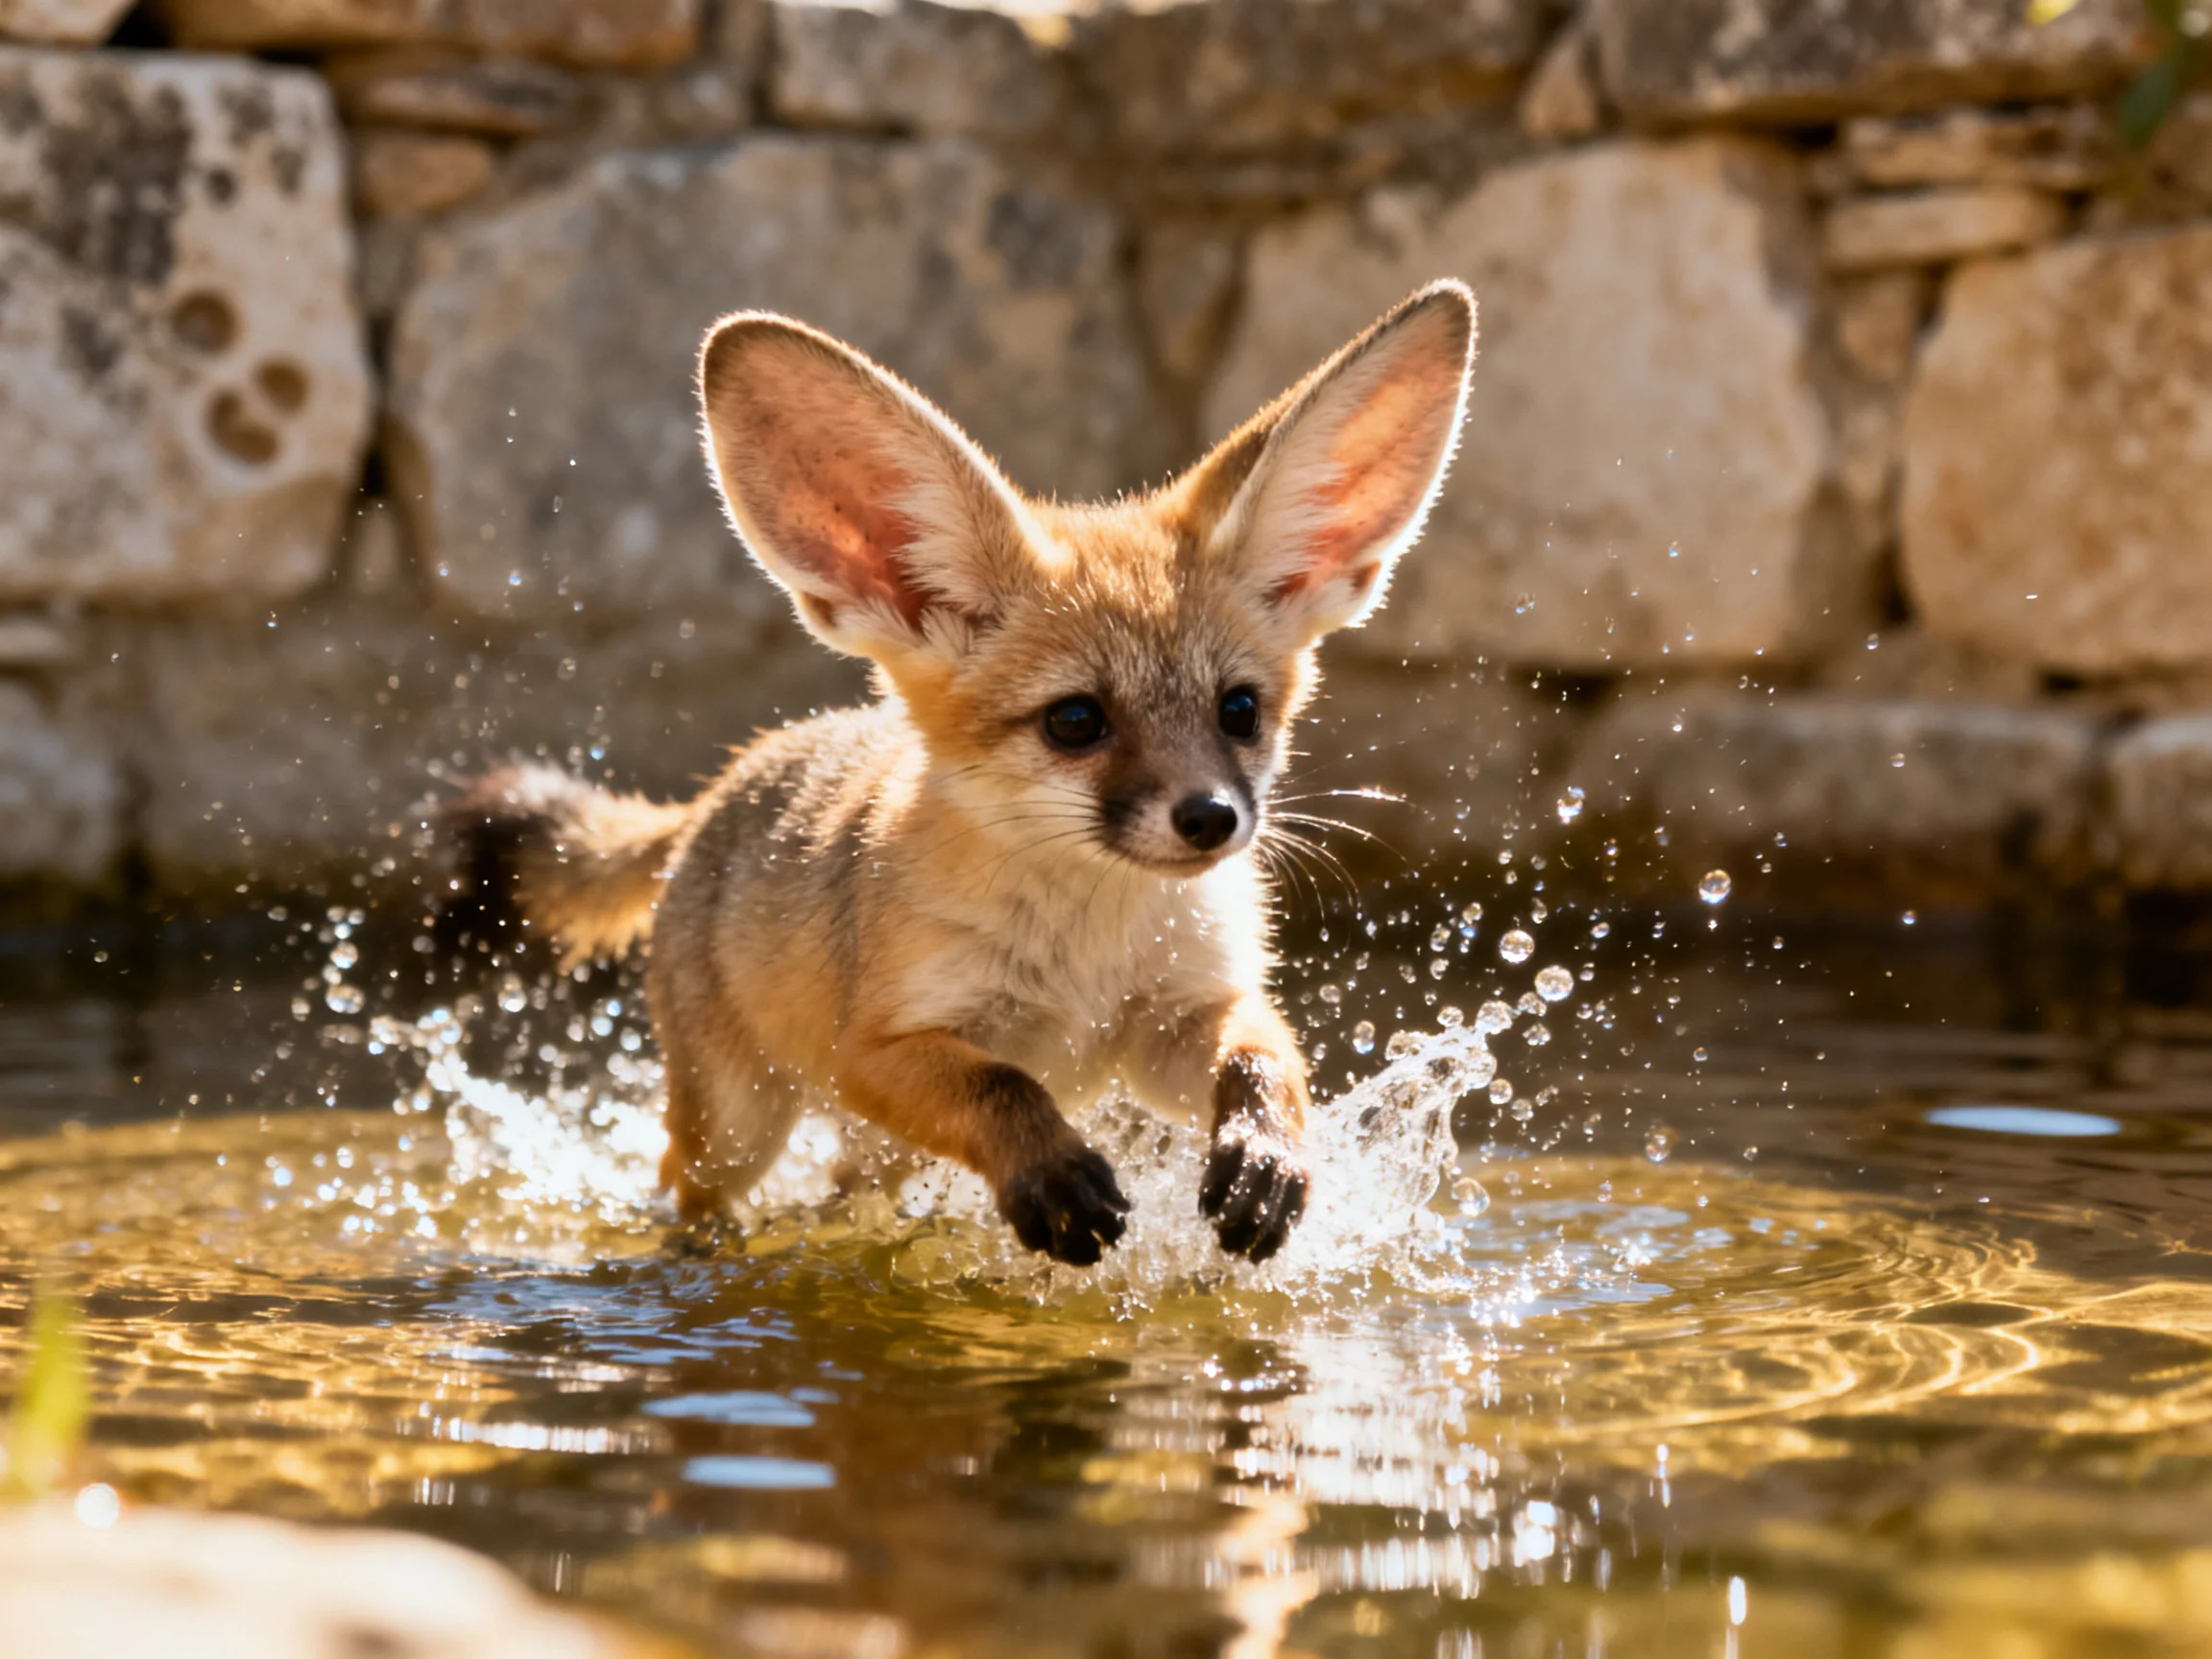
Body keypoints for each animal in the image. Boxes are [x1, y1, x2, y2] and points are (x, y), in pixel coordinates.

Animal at [437, 279, 1476, 1267]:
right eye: (1075, 721)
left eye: (1240, 710)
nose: (1211, 818)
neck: (1085, 953)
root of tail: (733, 776)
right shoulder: (882, 1049)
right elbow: (1002, 1086)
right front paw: (1054, 1176)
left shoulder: (1180, 1013)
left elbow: (1264, 1062)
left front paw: (1266, 1160)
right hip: (738, 1123)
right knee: (689, 1190)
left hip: (860, 1146)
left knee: (841, 1192)